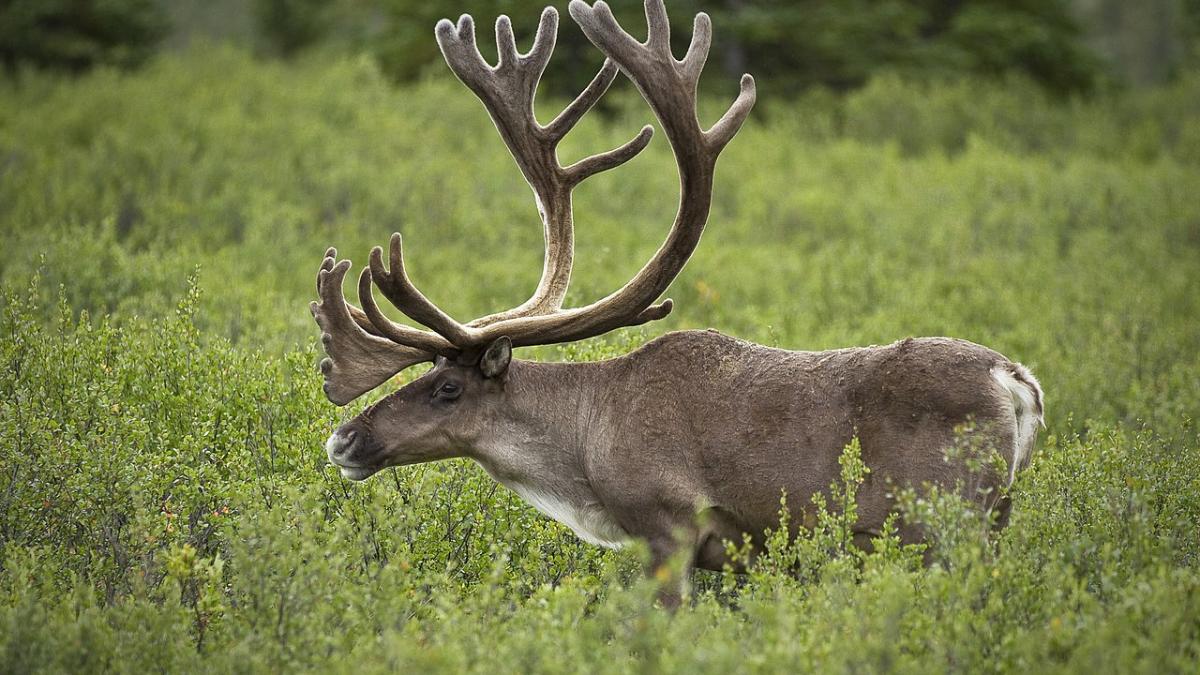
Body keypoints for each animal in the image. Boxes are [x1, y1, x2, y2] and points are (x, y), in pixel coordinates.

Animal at [311, 0, 1044, 606]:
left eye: (448, 388)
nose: (343, 439)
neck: (585, 449)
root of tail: (1014, 380)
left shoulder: (670, 526)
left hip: (944, 521)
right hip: (992, 518)